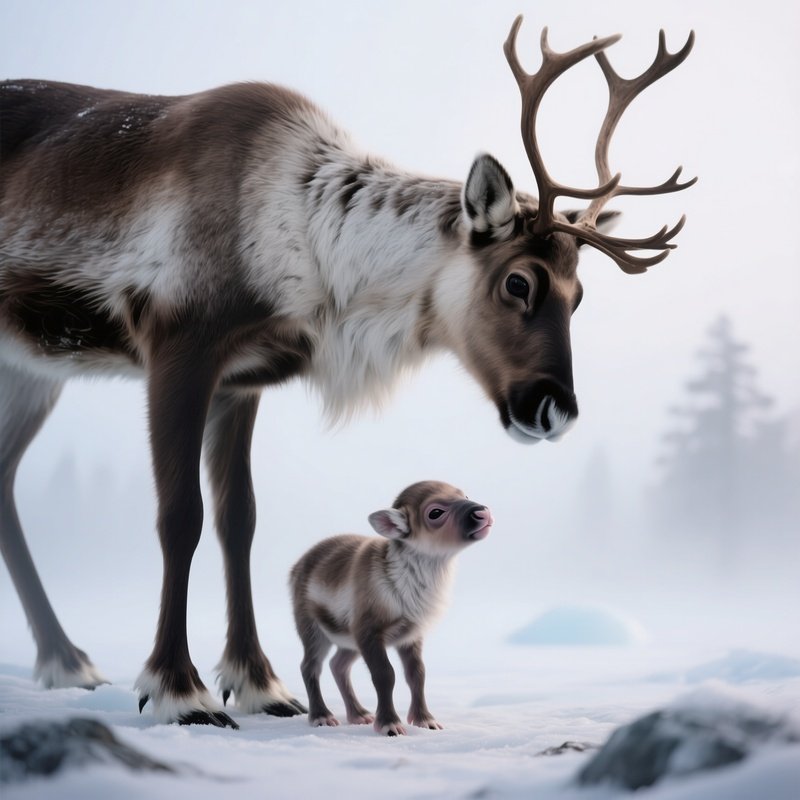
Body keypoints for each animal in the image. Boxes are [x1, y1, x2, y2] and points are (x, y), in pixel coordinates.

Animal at [290, 481, 492, 736]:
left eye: (464, 495)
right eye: (435, 512)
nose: (483, 512)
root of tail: (294, 569)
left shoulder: (411, 635)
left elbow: (417, 674)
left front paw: (426, 721)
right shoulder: (369, 631)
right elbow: (385, 675)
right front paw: (390, 725)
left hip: (348, 639)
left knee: (338, 665)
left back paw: (359, 714)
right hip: (312, 628)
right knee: (310, 666)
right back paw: (322, 716)